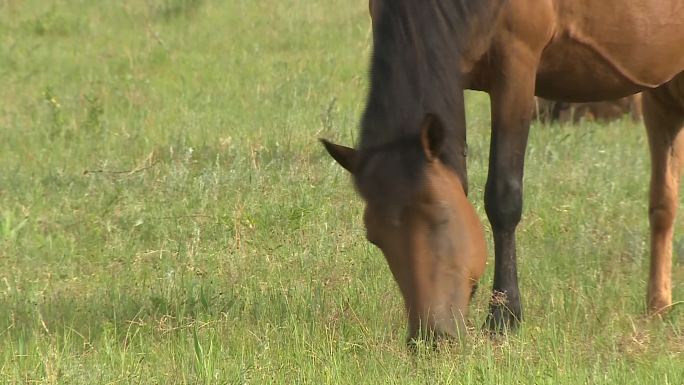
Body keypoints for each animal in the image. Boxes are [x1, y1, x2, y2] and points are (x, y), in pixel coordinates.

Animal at [322, 0, 684, 338]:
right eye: (374, 237)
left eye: (442, 218)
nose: (431, 335)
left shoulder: (517, 67)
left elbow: (503, 197)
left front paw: (503, 316)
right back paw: (657, 307)